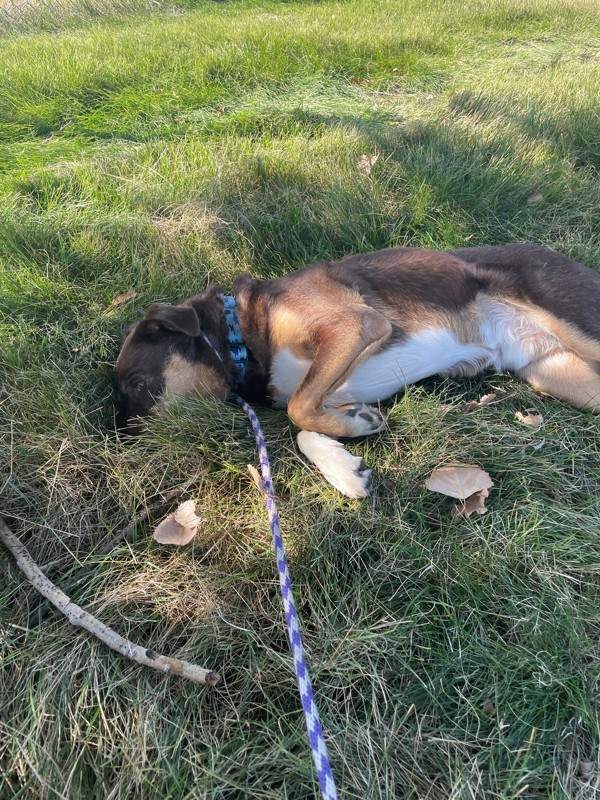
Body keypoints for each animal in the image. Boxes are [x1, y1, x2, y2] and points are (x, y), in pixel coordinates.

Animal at [116, 241, 600, 496]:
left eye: (137, 385)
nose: (124, 450)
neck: (242, 333)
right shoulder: (338, 381)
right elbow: (305, 422)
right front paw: (346, 461)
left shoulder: (355, 325)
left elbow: (297, 408)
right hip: (561, 373)